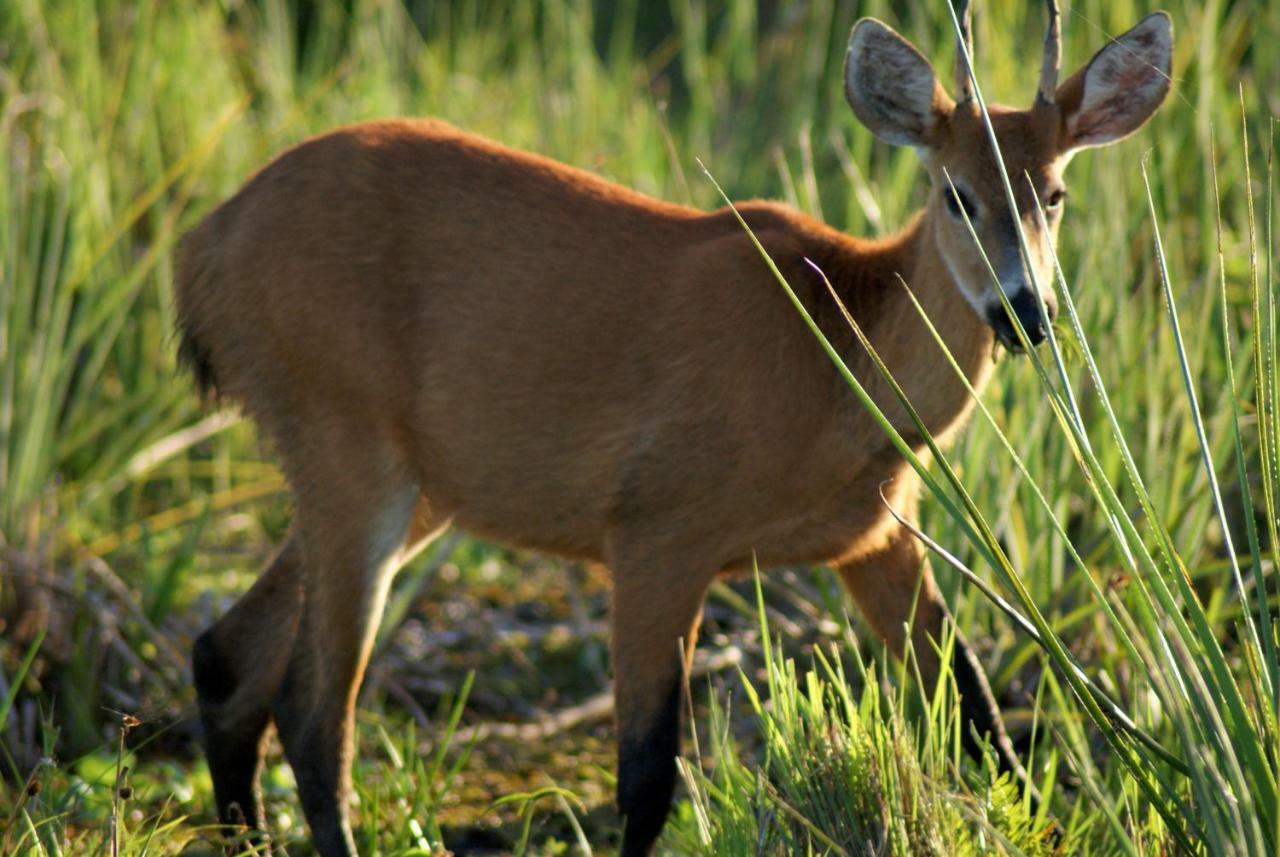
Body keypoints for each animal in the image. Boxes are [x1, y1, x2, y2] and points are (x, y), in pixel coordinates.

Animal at [177, 3, 1172, 854]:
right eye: (955, 191)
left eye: (1054, 193)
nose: (1025, 311)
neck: (839, 356)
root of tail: (206, 246)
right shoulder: (656, 532)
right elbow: (648, 778)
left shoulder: (879, 538)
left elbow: (981, 719)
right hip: (351, 453)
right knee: (314, 709)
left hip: (404, 486)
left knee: (228, 655)